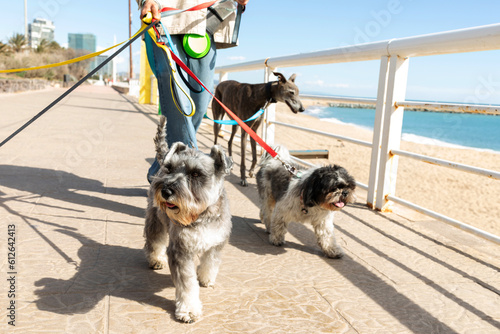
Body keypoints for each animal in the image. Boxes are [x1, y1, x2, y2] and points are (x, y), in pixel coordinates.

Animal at [143, 116, 232, 322]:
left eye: (196, 174)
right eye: (170, 169)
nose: (166, 191)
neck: (203, 215)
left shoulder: (216, 244)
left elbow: (210, 263)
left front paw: (206, 279)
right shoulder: (181, 252)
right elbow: (187, 285)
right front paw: (189, 310)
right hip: (155, 220)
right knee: (155, 240)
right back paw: (155, 259)